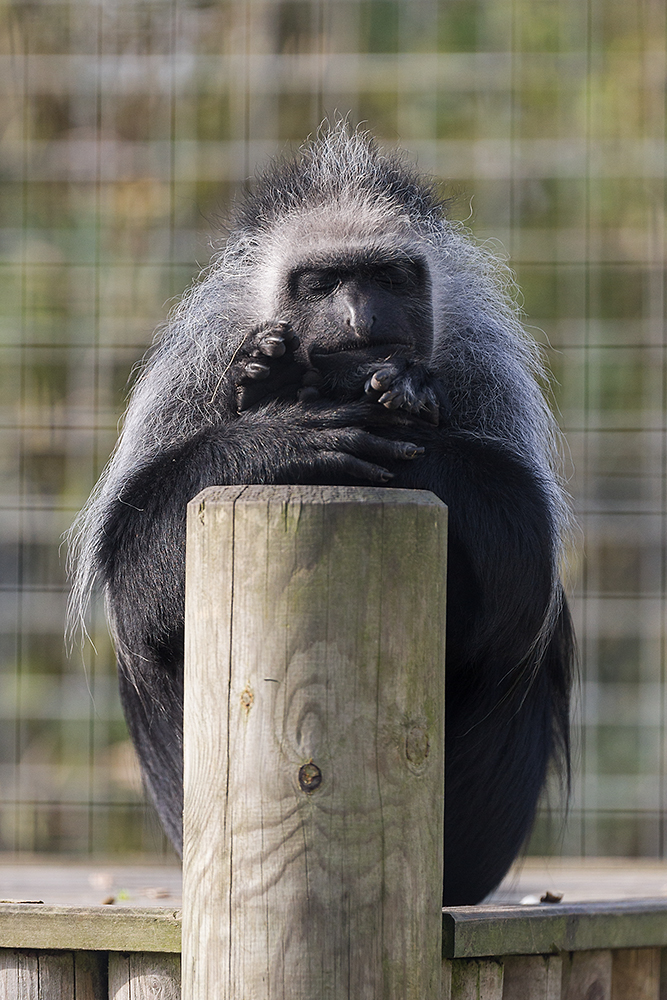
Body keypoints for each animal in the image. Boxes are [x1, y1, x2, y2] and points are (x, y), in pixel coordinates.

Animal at [68, 125, 574, 906]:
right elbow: (135, 573)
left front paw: (405, 407)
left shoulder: (482, 370)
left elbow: (522, 576)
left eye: (388, 279)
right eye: (320, 285)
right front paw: (279, 427)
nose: (360, 319)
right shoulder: (198, 366)